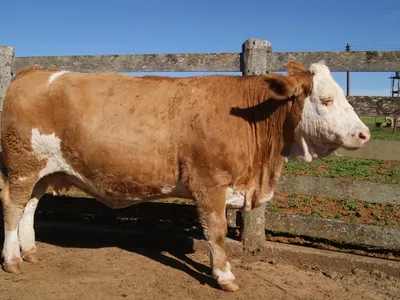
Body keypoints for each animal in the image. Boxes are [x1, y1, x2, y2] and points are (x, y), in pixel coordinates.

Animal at [0, 60, 370, 290]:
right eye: (326, 99)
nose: (364, 134)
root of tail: (32, 71)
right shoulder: (210, 184)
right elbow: (217, 232)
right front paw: (224, 276)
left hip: (42, 172)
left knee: (29, 207)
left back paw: (29, 251)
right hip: (21, 166)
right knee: (12, 207)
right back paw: (12, 259)